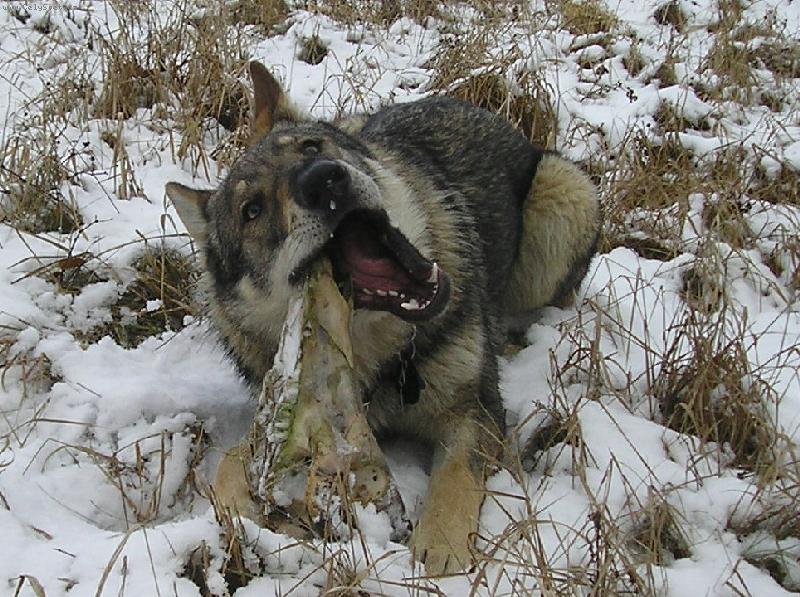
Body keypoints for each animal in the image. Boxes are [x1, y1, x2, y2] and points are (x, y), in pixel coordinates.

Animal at [166, 61, 599, 575]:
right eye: (252, 211)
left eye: (310, 148)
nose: (322, 180)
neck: (383, 356)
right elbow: (232, 459)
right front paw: (233, 508)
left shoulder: (478, 411)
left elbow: (456, 476)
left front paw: (441, 549)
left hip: (564, 192)